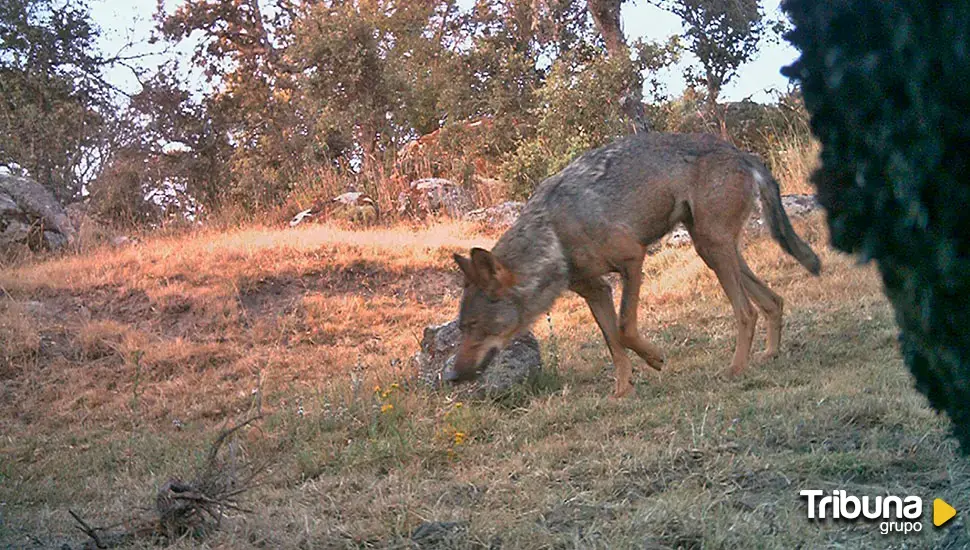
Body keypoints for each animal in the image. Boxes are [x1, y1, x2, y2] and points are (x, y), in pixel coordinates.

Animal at [446, 134, 816, 402]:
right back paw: (770, 354)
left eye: (474, 325)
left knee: (747, 312)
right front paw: (622, 391)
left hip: (714, 249)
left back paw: (736, 369)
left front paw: (655, 359)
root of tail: (742, 153)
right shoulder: (596, 291)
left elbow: (624, 329)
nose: (452, 376)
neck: (554, 232)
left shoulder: (632, 260)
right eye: (461, 328)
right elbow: (613, 343)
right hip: (712, 250)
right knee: (773, 301)